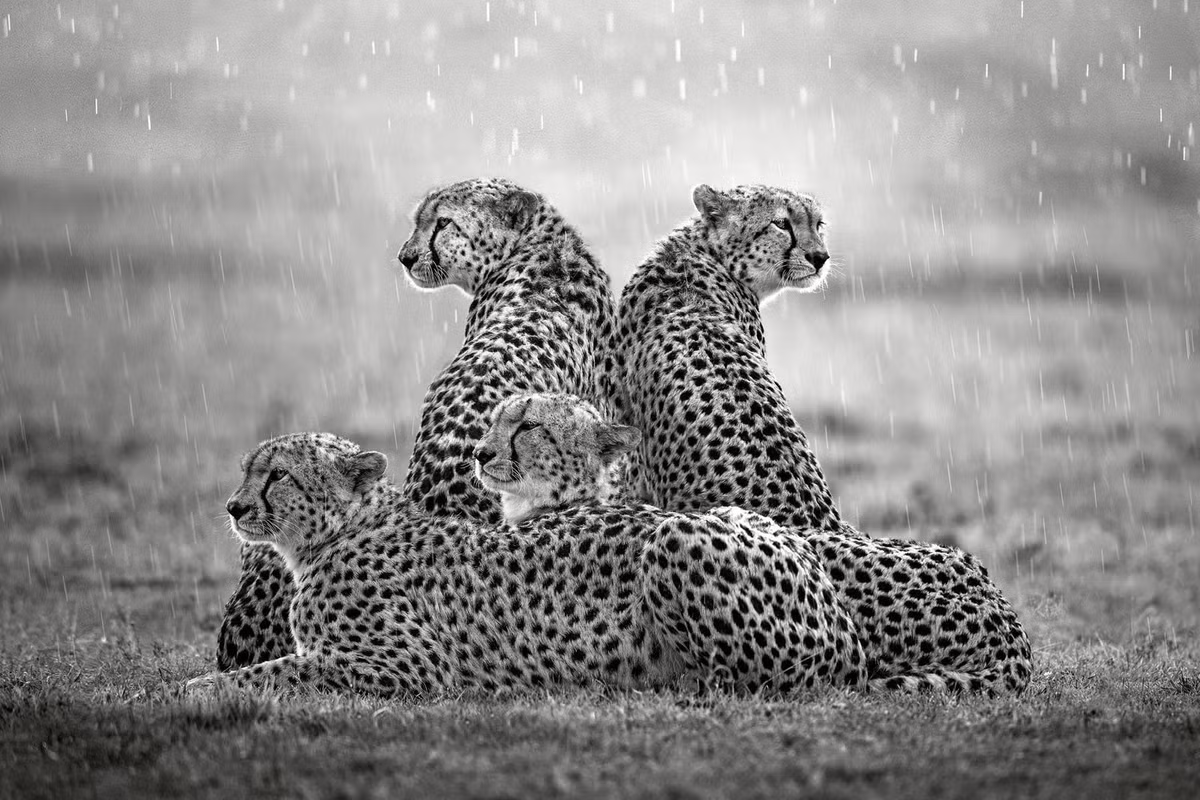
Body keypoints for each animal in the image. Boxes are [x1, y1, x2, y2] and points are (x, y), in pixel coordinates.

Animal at [190, 433, 868, 698]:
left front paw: (195, 689)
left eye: (278, 475)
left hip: (676, 535)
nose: (234, 505)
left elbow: (281, 670)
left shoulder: (411, 668)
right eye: (247, 470)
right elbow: (283, 666)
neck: (334, 536)